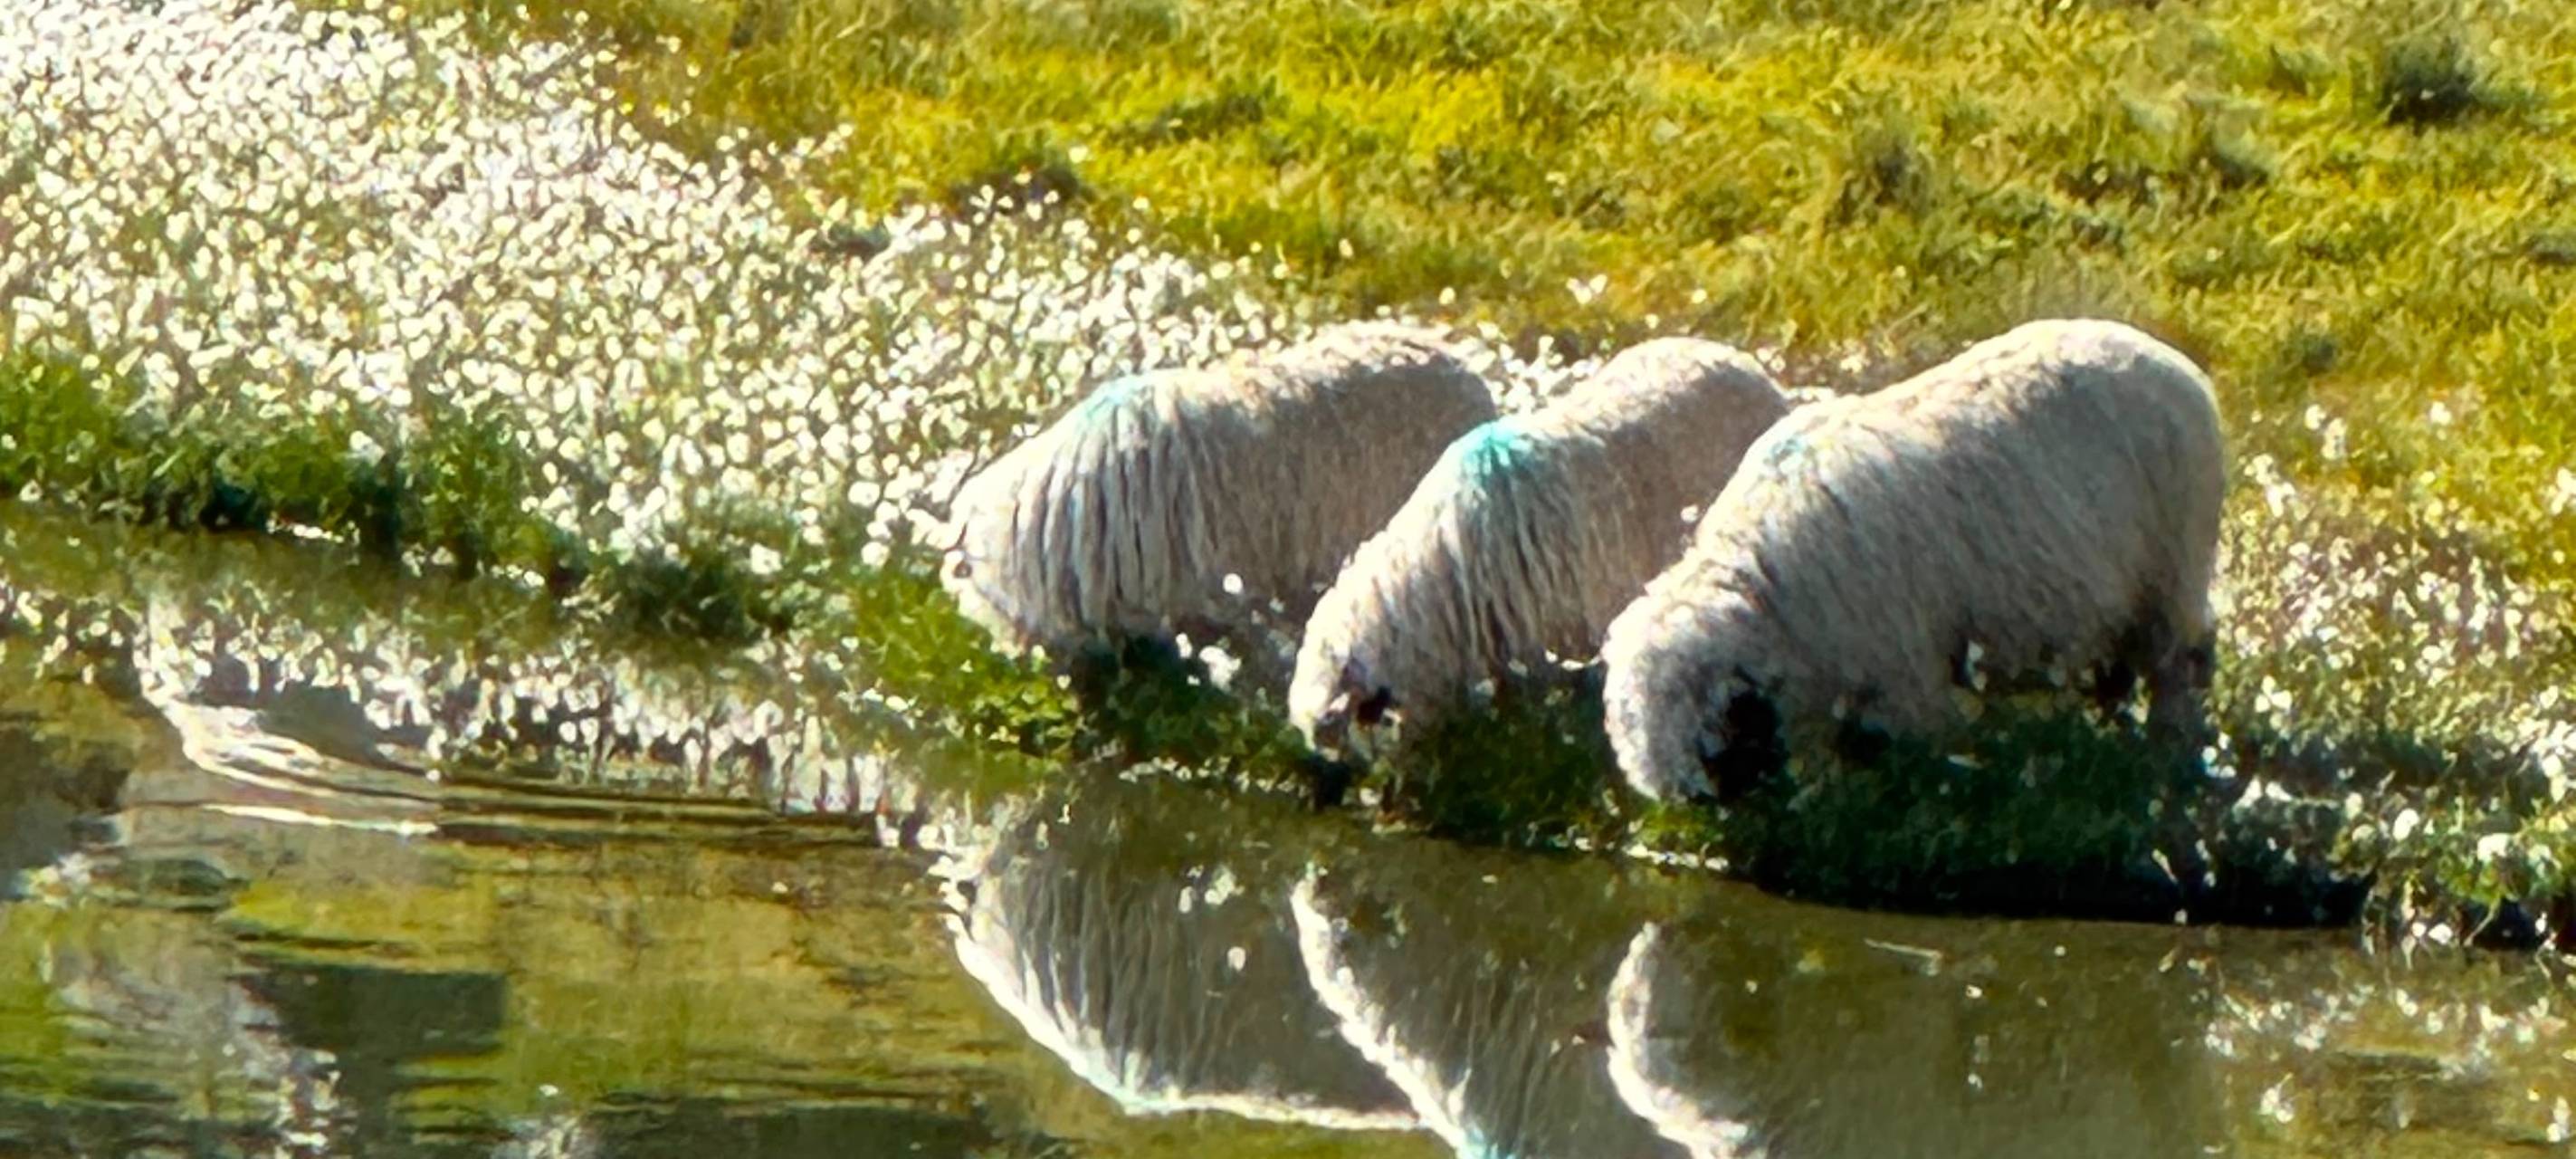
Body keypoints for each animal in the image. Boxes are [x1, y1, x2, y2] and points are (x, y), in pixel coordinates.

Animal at [1600, 318, 2225, 803]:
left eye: (1708, 740)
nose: (1707, 808)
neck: (1766, 590)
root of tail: (2181, 368)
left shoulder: (1904, 668)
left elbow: (1921, 744)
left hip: (2173, 567)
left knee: (2178, 663)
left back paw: (2169, 749)